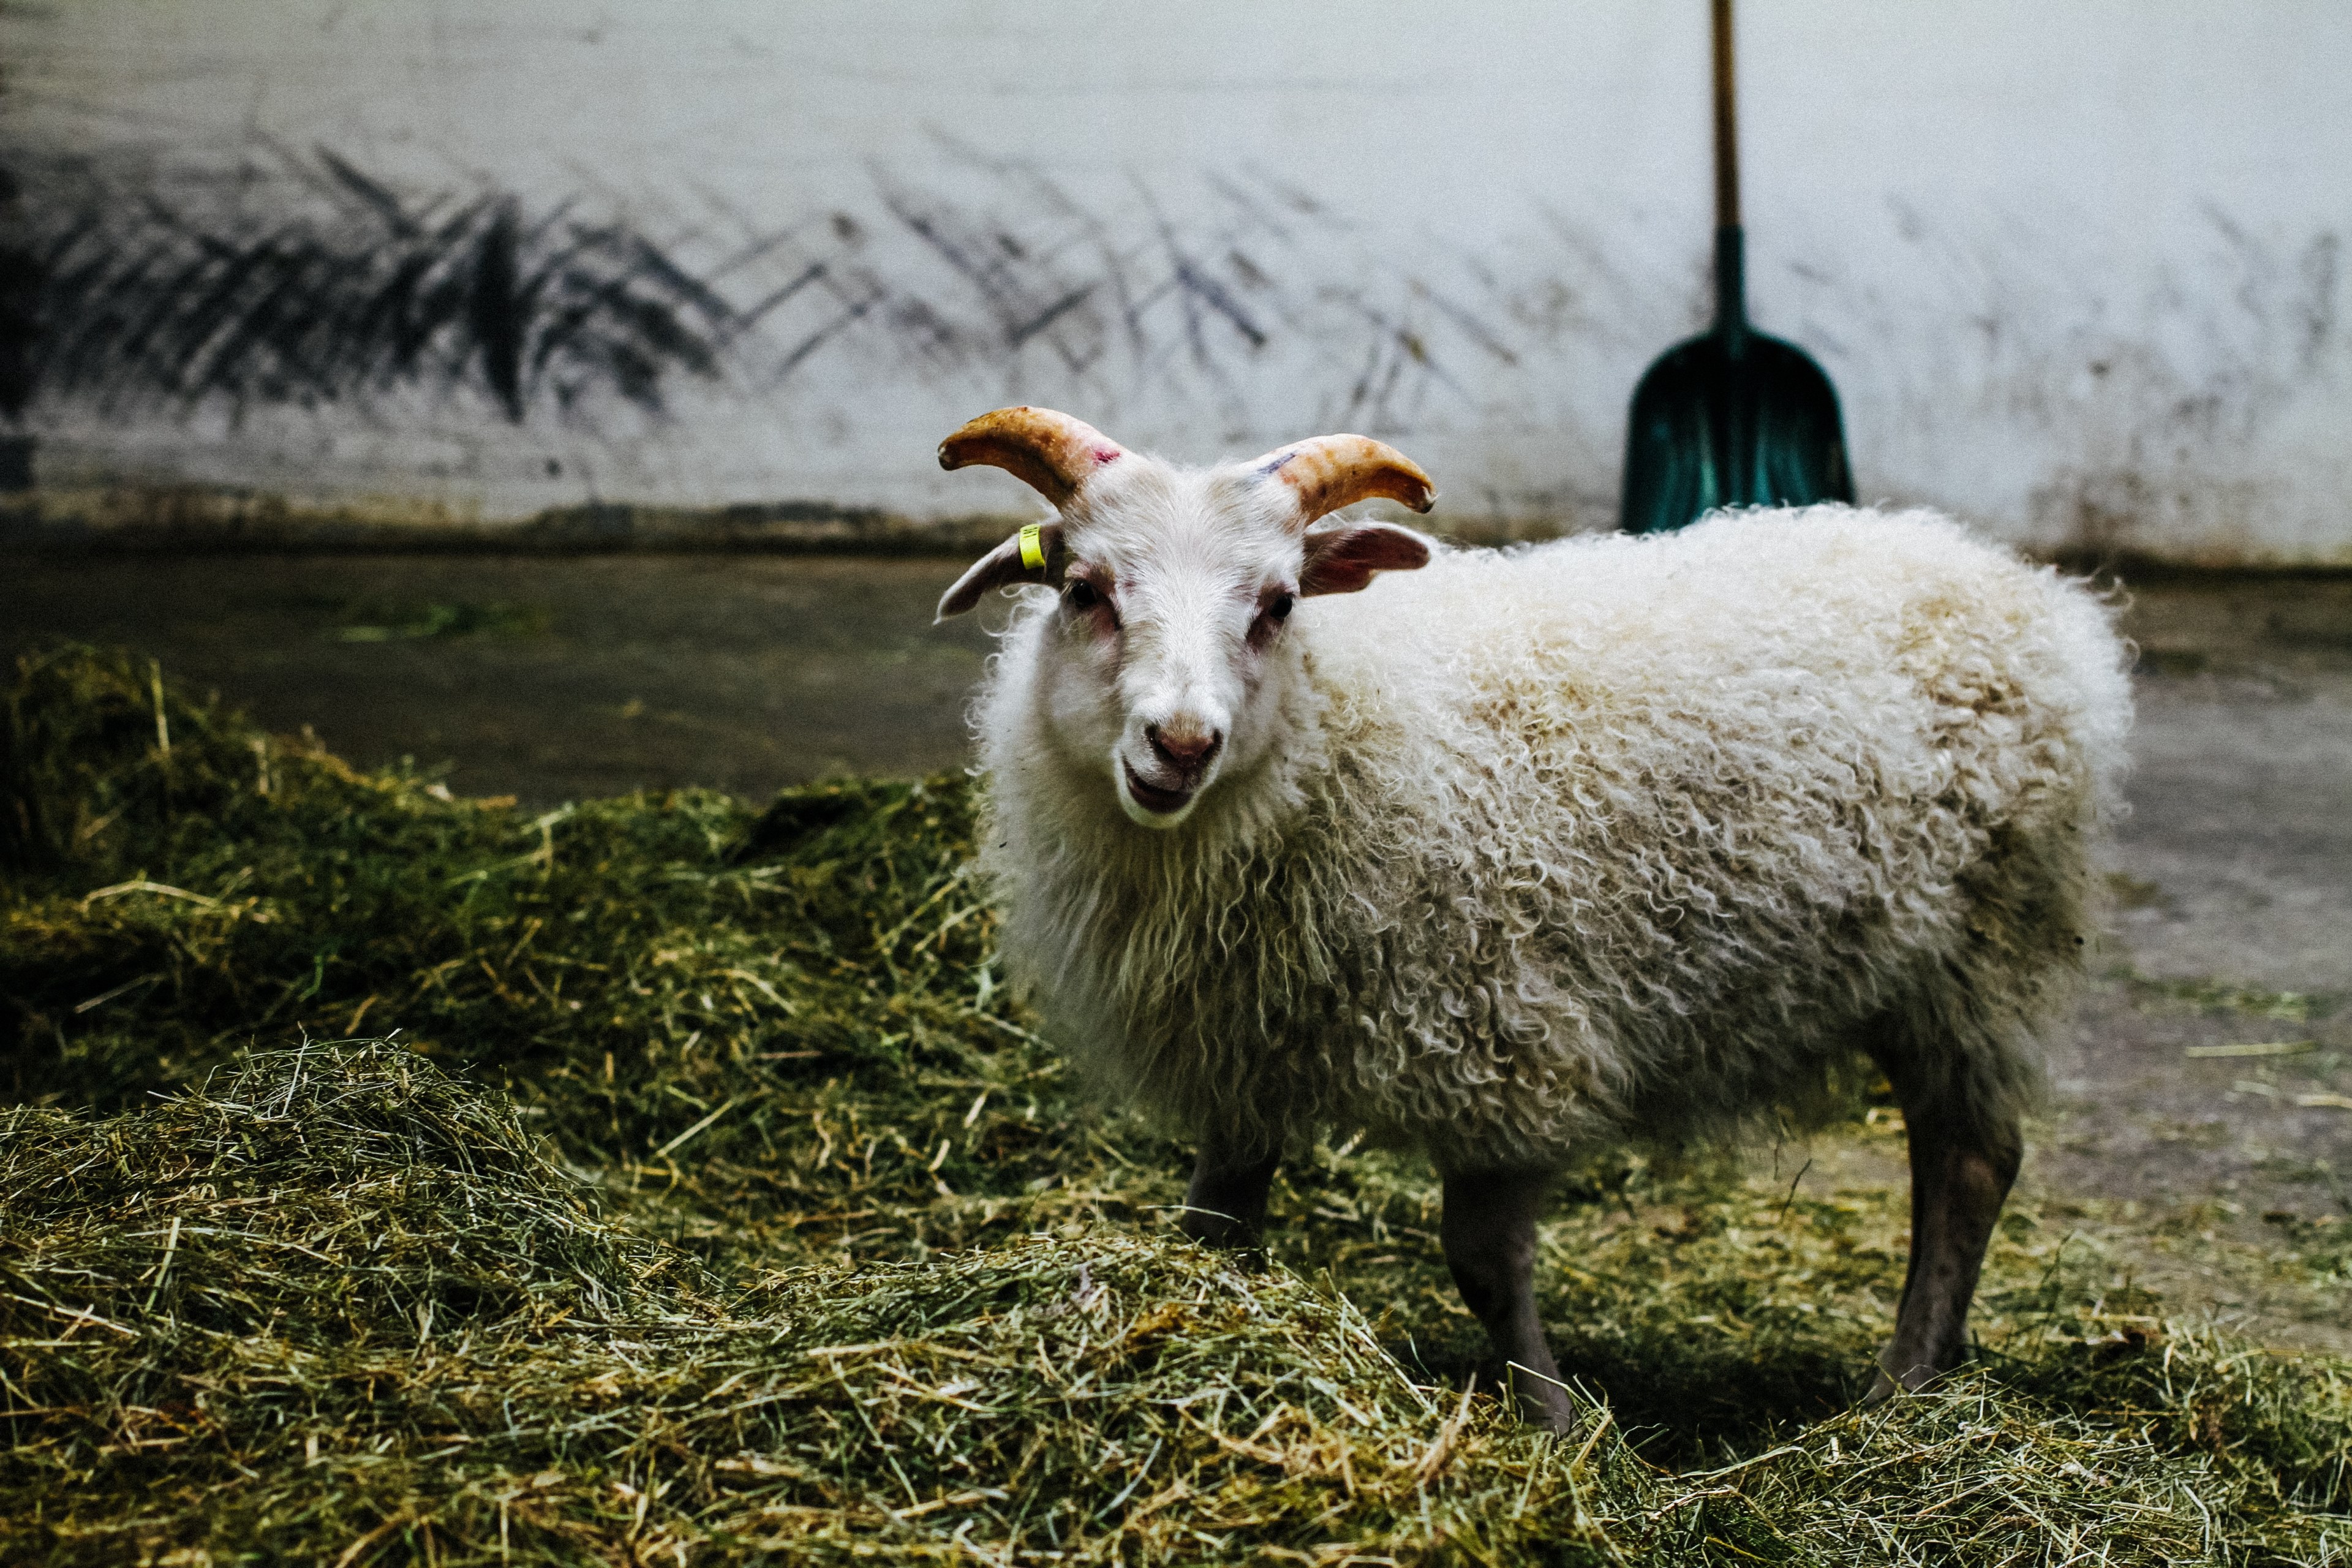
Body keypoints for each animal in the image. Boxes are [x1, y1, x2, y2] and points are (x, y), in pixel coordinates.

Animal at [933, 405, 2133, 1431]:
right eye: (1084, 588)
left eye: (1278, 604)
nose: (1180, 745)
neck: (1338, 723)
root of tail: (2033, 593)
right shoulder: (1246, 1044)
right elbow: (1216, 1225)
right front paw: (1215, 1323)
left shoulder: (1501, 1037)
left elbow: (1480, 1261)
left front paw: (1551, 1420)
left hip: (1980, 956)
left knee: (1971, 1162)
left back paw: (1903, 1388)